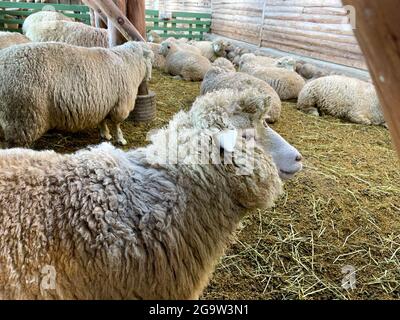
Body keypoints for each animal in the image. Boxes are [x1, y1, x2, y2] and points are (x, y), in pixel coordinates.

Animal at [0, 41, 153, 148]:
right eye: (150, 61)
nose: (150, 78)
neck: (128, 63)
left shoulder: (104, 103)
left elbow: (103, 121)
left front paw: (105, 134)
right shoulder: (120, 105)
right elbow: (117, 125)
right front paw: (120, 139)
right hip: (23, 116)